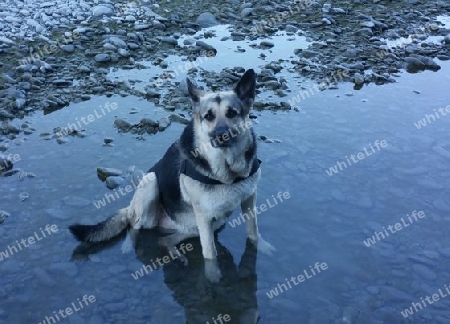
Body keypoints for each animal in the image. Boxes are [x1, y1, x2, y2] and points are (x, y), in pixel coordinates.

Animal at [70, 69, 274, 280]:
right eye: (208, 116)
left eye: (232, 113)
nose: (221, 135)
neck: (227, 173)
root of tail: (130, 207)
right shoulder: (204, 217)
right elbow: (210, 253)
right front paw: (213, 277)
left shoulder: (248, 200)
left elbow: (253, 231)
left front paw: (262, 247)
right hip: (151, 183)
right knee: (133, 225)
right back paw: (131, 245)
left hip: (202, 225)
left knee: (164, 240)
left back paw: (177, 255)